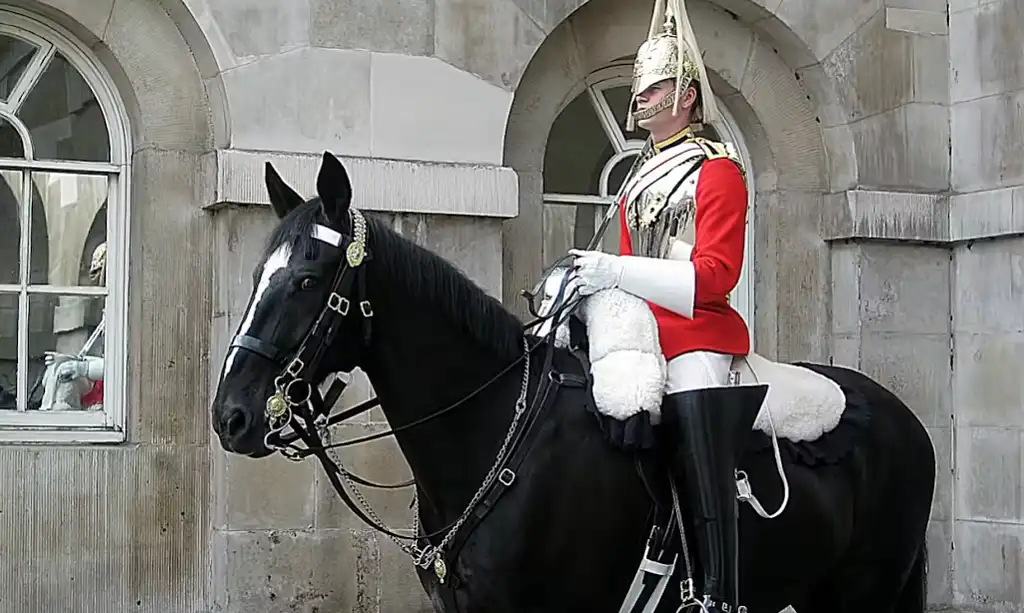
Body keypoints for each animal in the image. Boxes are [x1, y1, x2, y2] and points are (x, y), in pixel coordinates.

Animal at [214, 152, 937, 613]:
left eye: (308, 279)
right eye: (255, 275)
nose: (231, 416)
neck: (495, 435)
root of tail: (903, 417)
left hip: (866, 592)